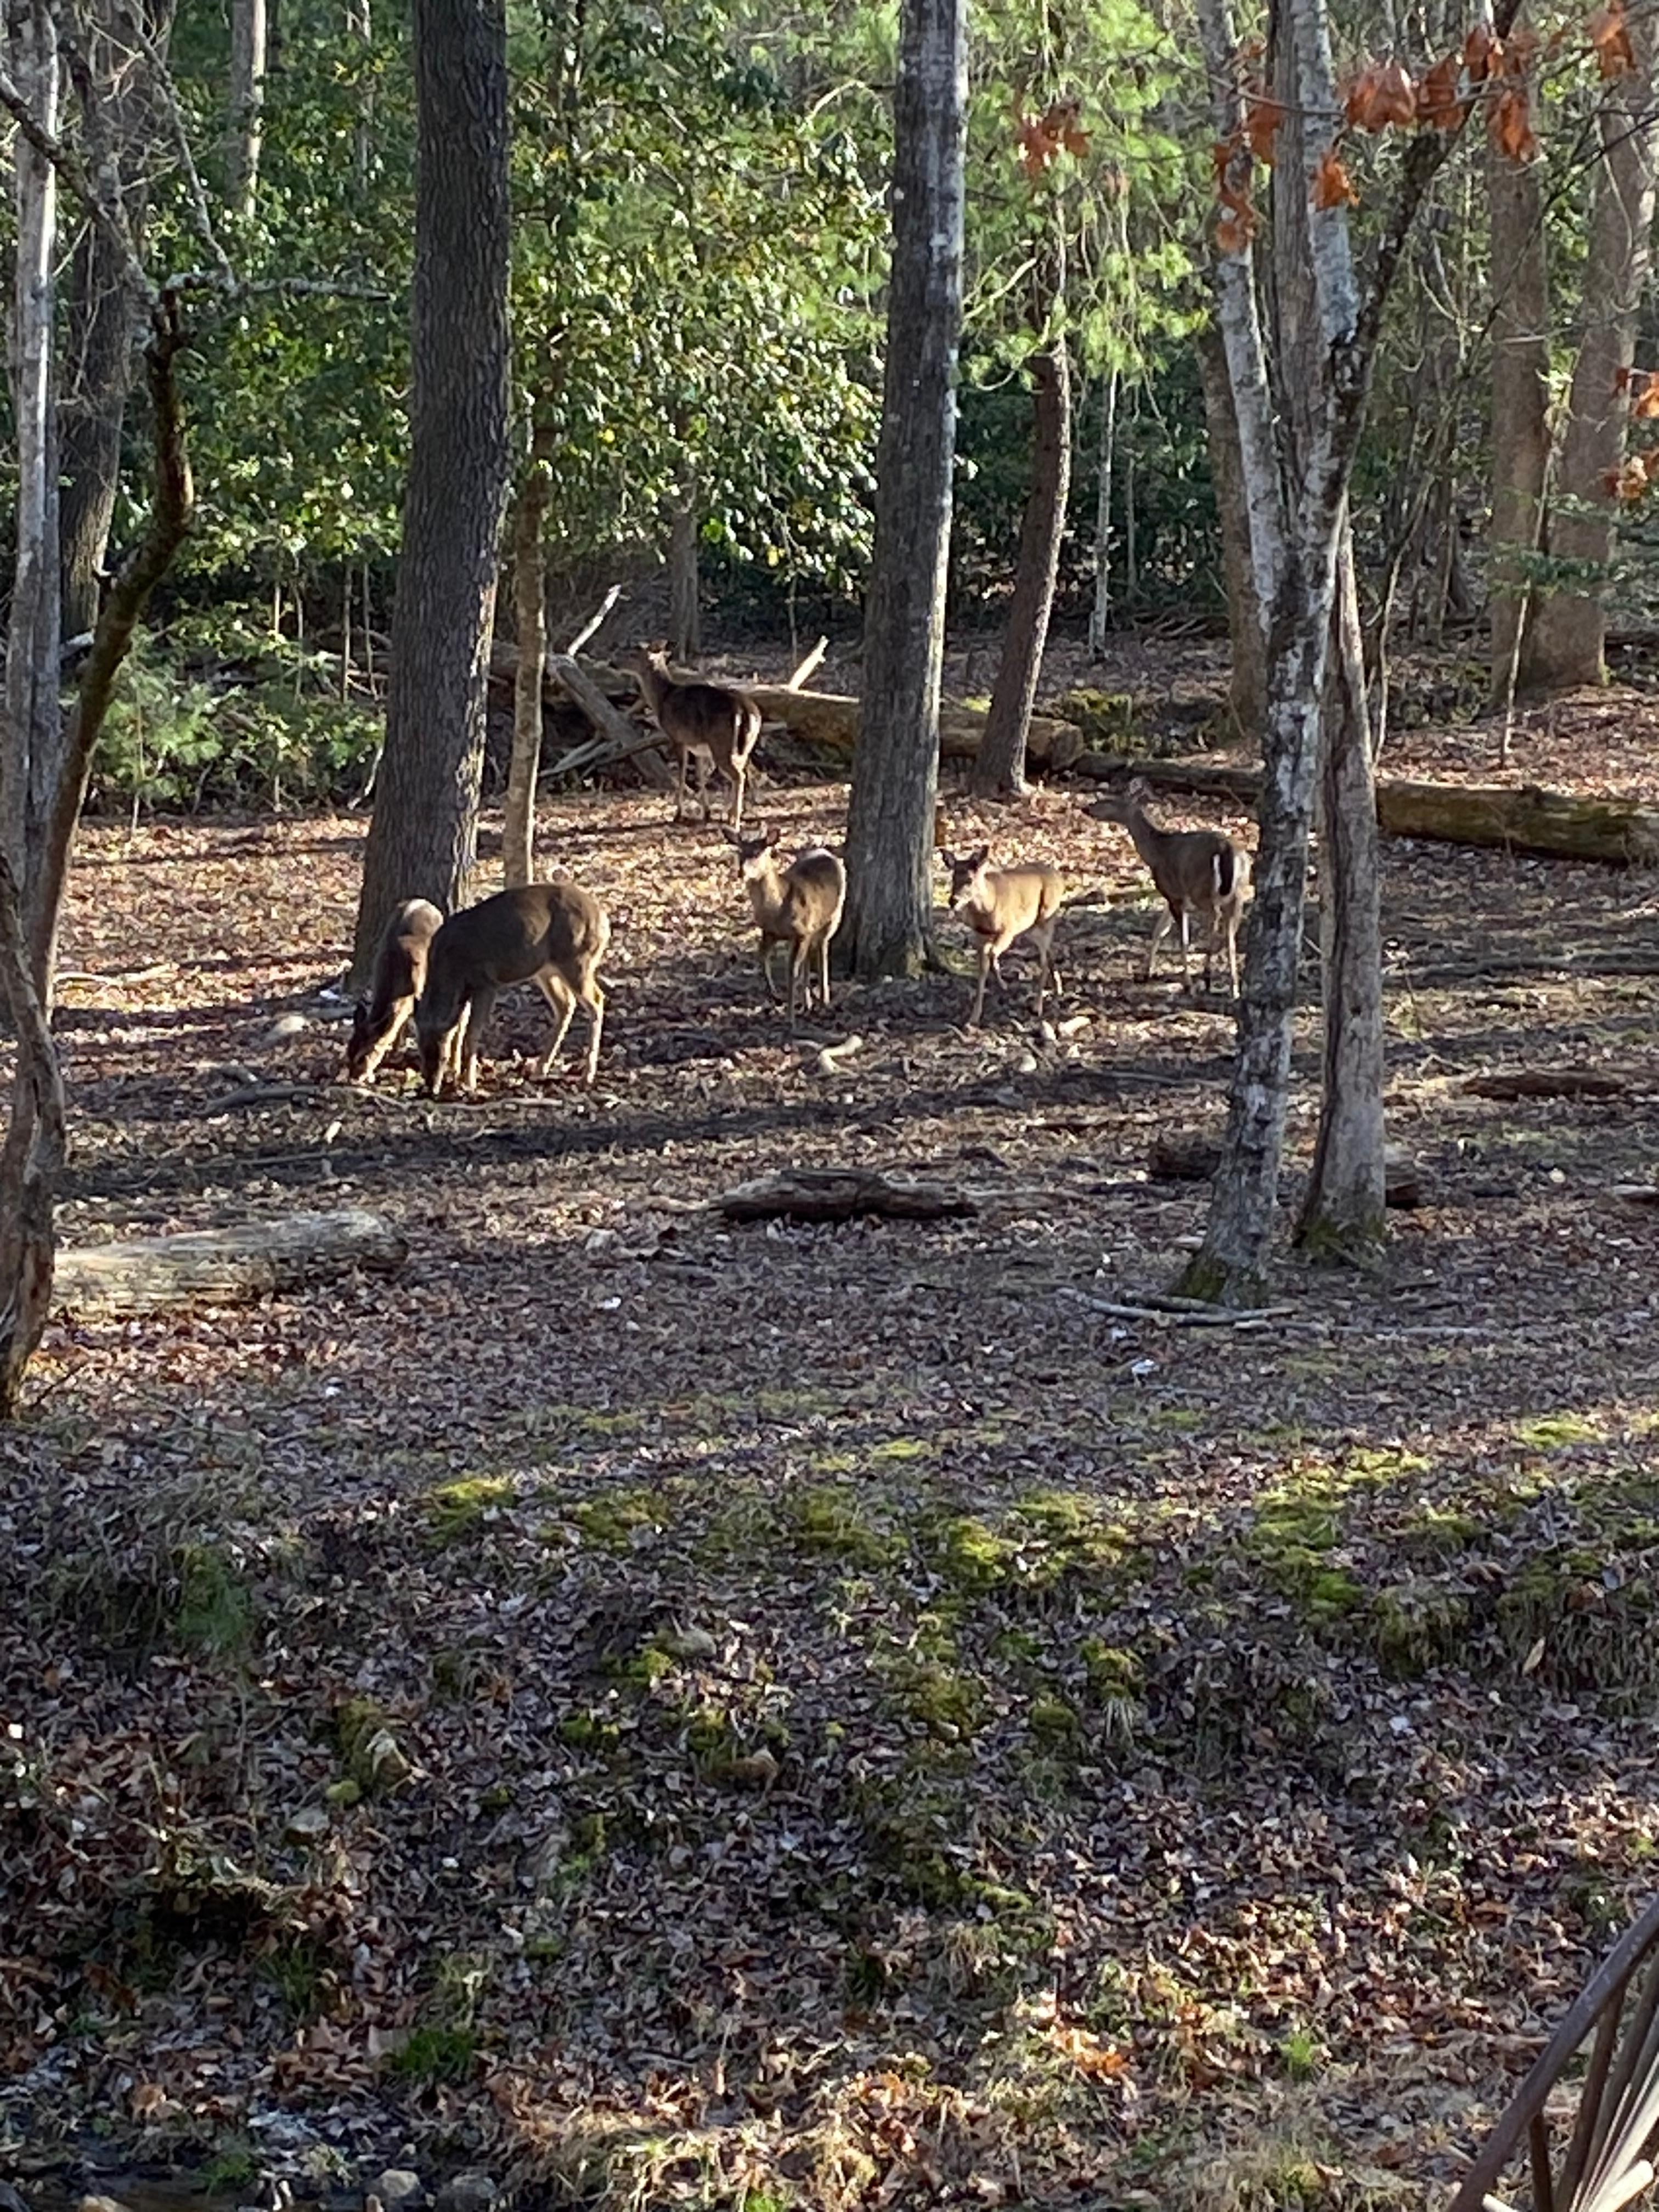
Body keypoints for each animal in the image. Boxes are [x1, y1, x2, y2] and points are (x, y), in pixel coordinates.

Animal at [415, 879, 609, 1098]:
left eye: (442, 1056)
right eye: (421, 1053)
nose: (431, 1088)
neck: (450, 965)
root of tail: (603, 917)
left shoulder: (486, 983)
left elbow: (472, 1032)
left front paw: (469, 1082)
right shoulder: (465, 992)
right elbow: (460, 1025)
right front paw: (455, 1072)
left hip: (577, 959)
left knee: (597, 1000)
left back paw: (587, 1077)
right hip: (546, 969)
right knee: (566, 1004)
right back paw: (541, 1069)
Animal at [629, 646, 763, 832]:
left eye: (634, 655)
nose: (616, 663)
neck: (662, 700)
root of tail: (746, 710)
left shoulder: (678, 738)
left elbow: (682, 773)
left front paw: (678, 814)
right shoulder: (699, 748)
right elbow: (700, 775)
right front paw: (706, 812)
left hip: (722, 745)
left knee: (739, 776)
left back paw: (735, 823)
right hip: (745, 746)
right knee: (746, 773)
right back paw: (732, 816)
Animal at [723, 827, 846, 1021]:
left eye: (758, 853)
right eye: (740, 852)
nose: (741, 873)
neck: (778, 909)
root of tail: (828, 854)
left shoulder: (801, 932)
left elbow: (792, 971)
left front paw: (790, 1016)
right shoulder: (770, 932)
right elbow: (763, 959)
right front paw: (775, 995)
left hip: (834, 916)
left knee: (823, 950)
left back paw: (823, 1001)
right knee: (809, 957)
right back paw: (807, 1003)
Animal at [943, 847, 1064, 1028]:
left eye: (970, 880)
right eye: (953, 878)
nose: (953, 901)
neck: (988, 908)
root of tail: (1060, 878)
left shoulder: (1009, 930)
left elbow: (993, 954)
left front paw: (1004, 984)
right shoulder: (981, 936)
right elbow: (982, 971)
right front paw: (974, 1018)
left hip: (1046, 918)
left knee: (1043, 961)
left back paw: (1037, 1007)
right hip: (1032, 929)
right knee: (1051, 952)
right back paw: (1058, 989)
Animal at [1088, 776, 1251, 997]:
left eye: (1110, 800)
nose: (1087, 808)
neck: (1155, 853)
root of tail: (1226, 850)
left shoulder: (1175, 894)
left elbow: (1182, 939)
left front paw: (1187, 983)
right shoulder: (1170, 897)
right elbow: (1159, 930)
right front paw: (1145, 973)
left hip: (1201, 889)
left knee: (1215, 919)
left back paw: (1207, 977)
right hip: (1239, 891)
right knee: (1230, 934)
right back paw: (1233, 988)